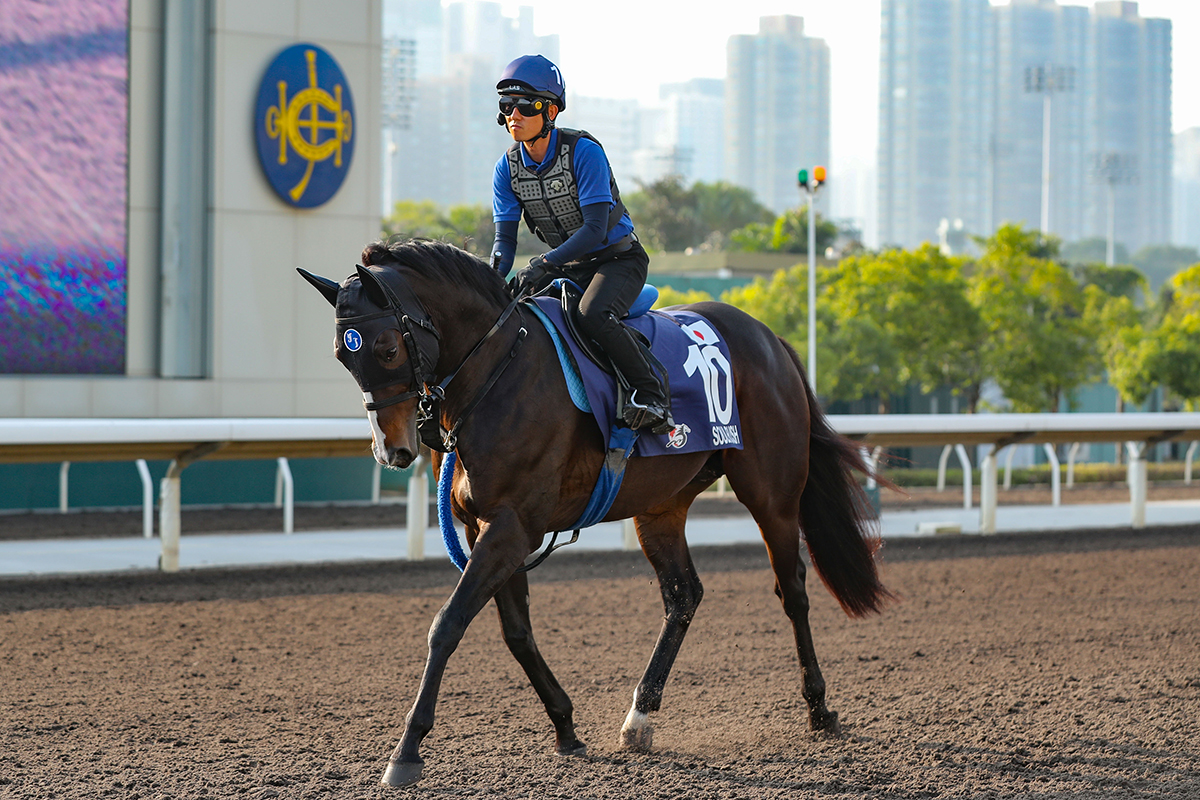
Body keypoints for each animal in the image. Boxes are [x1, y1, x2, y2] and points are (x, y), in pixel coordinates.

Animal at [300, 237, 892, 786]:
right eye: (341, 355)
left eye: (385, 348)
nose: (392, 449)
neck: (497, 372)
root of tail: (771, 339)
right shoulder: (486, 528)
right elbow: (516, 633)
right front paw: (565, 726)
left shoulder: (511, 528)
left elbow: (448, 624)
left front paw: (406, 751)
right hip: (661, 506)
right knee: (683, 595)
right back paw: (639, 717)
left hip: (772, 494)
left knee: (792, 589)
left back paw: (819, 707)